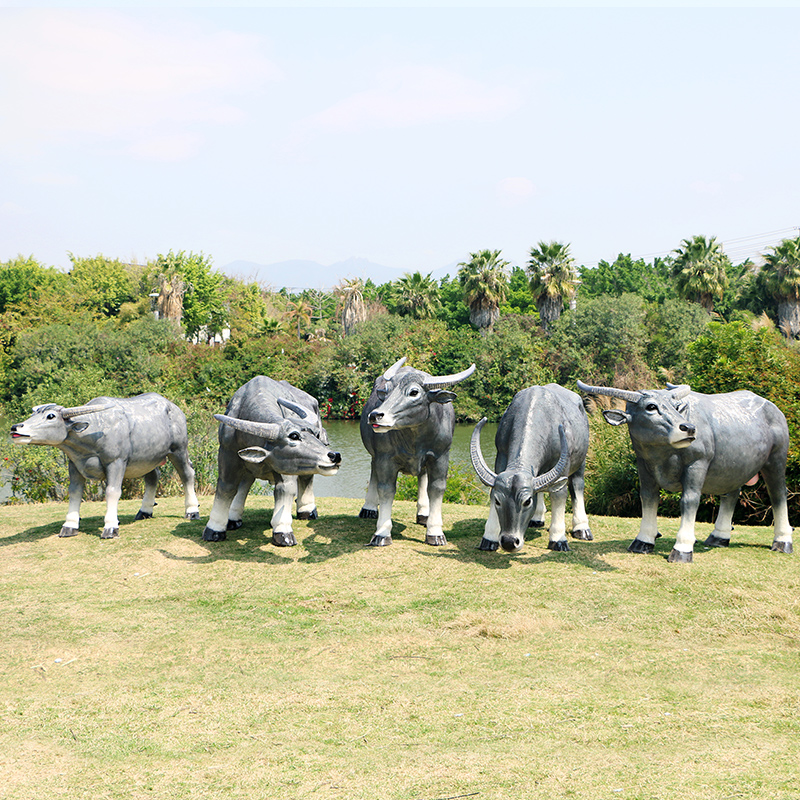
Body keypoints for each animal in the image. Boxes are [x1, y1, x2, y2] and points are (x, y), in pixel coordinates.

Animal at [9, 394, 200, 536]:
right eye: (34, 415)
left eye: (50, 416)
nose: (15, 427)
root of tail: (173, 407)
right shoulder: (74, 464)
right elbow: (75, 492)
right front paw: (69, 525)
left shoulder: (116, 462)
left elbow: (112, 492)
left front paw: (110, 526)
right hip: (147, 458)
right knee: (153, 477)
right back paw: (145, 511)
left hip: (178, 450)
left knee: (187, 474)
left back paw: (192, 511)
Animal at [203, 378, 340, 548]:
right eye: (294, 436)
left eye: (315, 434)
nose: (335, 456)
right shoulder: (227, 455)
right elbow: (226, 488)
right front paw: (214, 529)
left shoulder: (287, 467)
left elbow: (284, 490)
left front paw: (282, 530)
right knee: (245, 483)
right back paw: (234, 518)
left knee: (306, 478)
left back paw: (307, 511)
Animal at [358, 354, 476, 544]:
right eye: (387, 392)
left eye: (414, 392)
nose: (375, 415)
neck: (414, 438)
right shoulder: (385, 458)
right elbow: (386, 489)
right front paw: (382, 533)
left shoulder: (440, 456)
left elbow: (436, 488)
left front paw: (435, 531)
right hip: (375, 455)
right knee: (374, 472)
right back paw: (369, 508)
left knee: (423, 477)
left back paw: (423, 514)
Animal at [468, 384, 592, 552]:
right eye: (498, 501)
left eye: (527, 501)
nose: (509, 541)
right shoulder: (501, 457)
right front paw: (489, 538)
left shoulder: (563, 466)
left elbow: (559, 496)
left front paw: (558, 539)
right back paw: (537, 519)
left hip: (581, 462)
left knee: (577, 486)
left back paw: (582, 528)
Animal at [576, 378, 792, 560]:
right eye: (651, 406)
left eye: (676, 407)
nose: (688, 428)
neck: (663, 453)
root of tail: (772, 408)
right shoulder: (644, 465)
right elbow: (648, 498)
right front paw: (643, 540)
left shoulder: (697, 464)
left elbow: (689, 501)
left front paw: (682, 548)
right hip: (733, 467)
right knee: (731, 494)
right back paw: (719, 537)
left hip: (776, 460)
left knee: (778, 494)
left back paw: (782, 541)